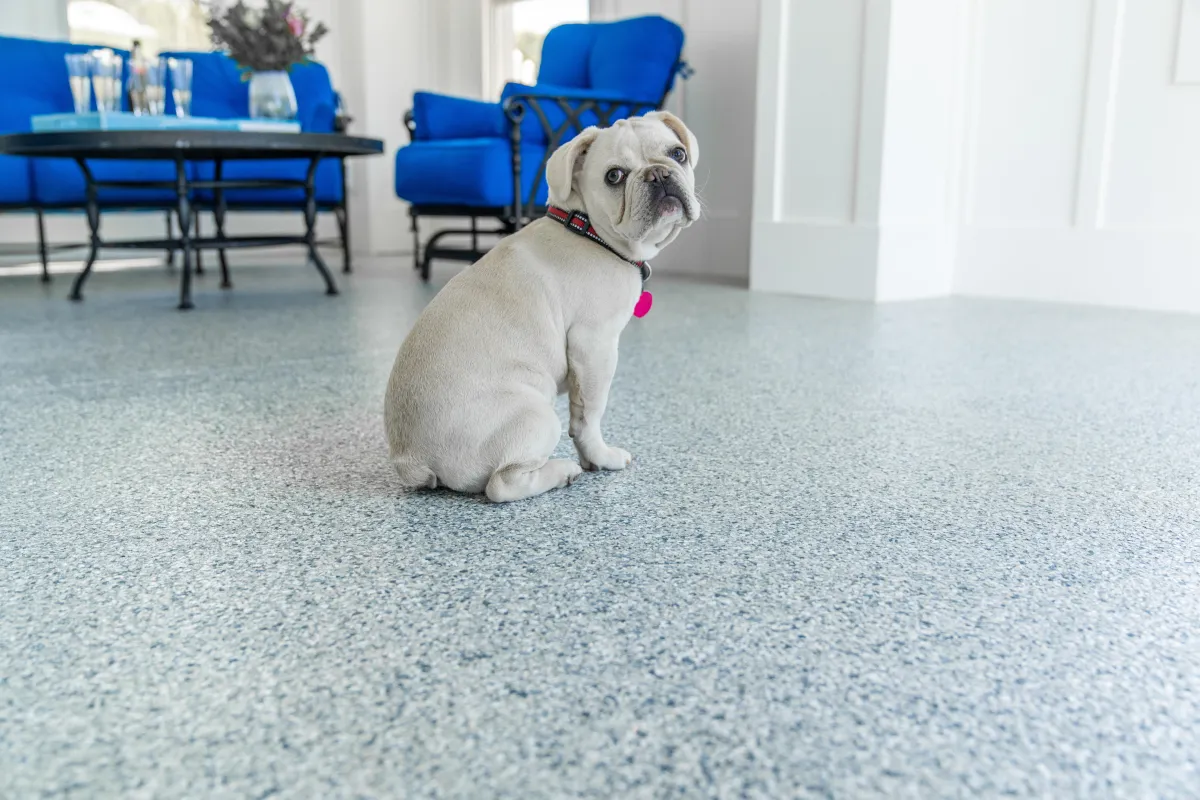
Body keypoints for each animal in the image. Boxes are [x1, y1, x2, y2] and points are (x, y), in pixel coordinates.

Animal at [384, 112, 700, 501]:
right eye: (614, 176)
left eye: (678, 153)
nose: (658, 173)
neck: (589, 230)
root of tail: (412, 459)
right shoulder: (594, 347)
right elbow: (589, 416)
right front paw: (601, 457)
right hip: (538, 415)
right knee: (501, 484)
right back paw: (563, 471)